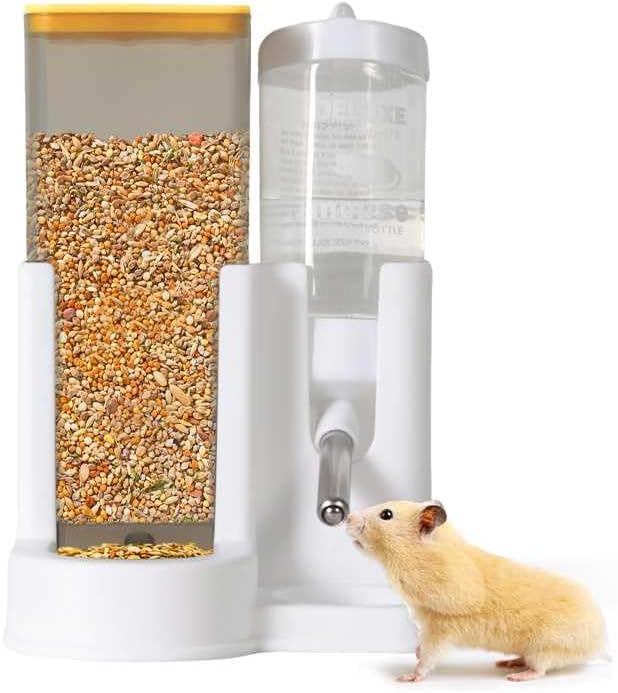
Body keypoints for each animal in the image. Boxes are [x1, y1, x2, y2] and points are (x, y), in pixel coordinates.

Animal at [346, 500, 609, 682]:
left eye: (386, 514)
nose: (348, 517)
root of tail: (600, 644)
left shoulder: (440, 625)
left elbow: (429, 656)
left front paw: (407, 677)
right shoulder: (428, 622)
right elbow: (422, 646)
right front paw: (416, 652)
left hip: (547, 646)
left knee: (541, 668)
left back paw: (515, 676)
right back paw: (508, 663)